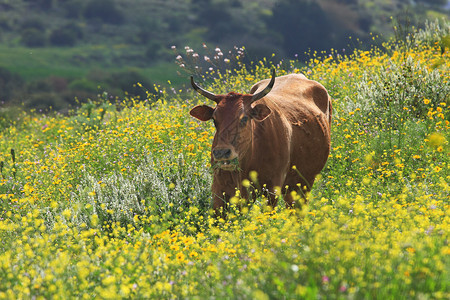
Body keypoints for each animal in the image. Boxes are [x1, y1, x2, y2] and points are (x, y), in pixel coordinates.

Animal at [189, 70, 330, 213]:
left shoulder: (272, 189)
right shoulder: (219, 189)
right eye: (214, 119)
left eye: (244, 118)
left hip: (304, 183)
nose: (221, 153)